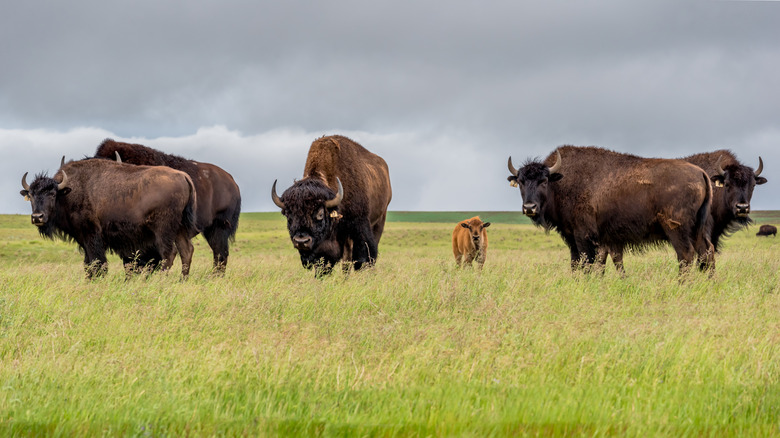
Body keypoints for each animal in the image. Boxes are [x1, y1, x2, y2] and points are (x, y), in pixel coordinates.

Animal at [20, 158, 198, 277]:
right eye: (31, 195)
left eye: (52, 194)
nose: (37, 217)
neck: (68, 192)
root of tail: (183, 176)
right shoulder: (84, 240)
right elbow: (88, 263)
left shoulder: (92, 236)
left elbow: (97, 262)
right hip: (180, 227)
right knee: (186, 251)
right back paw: (182, 280)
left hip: (163, 229)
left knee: (169, 253)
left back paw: (161, 280)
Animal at [272, 135, 392, 275]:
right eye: (288, 215)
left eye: (320, 214)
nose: (301, 241)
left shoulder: (359, 226)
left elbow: (363, 257)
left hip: (380, 219)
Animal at [507, 146, 715, 274]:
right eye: (521, 182)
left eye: (543, 181)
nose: (529, 207)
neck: (561, 182)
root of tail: (701, 173)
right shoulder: (582, 238)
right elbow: (580, 263)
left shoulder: (583, 236)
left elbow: (587, 263)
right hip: (699, 228)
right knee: (706, 251)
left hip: (676, 229)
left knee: (686, 255)